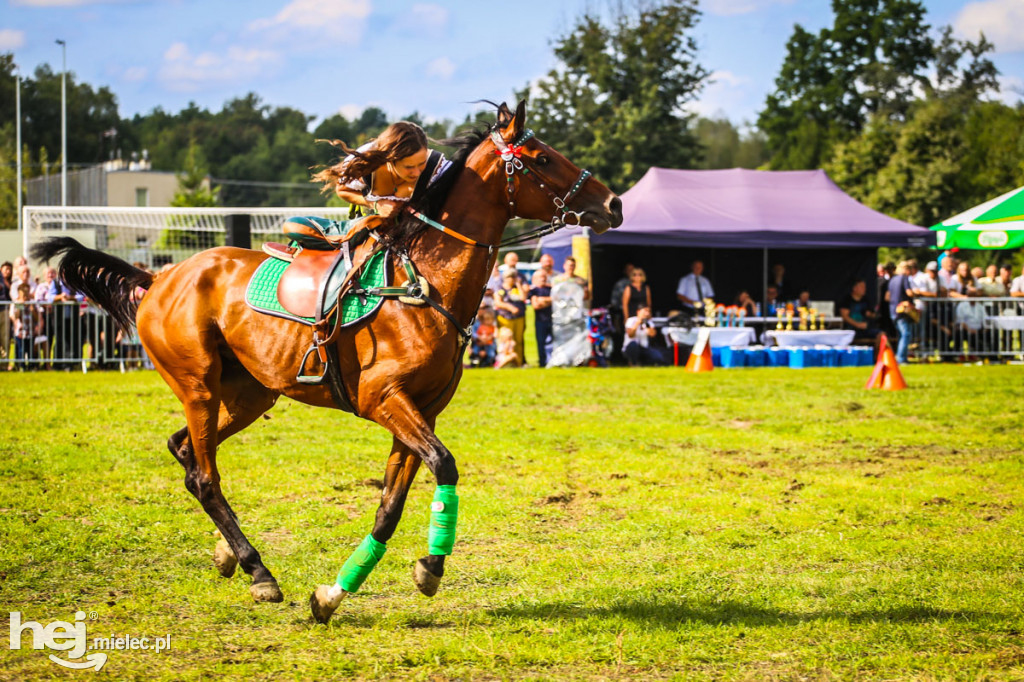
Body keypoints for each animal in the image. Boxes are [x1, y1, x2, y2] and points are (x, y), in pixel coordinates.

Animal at [32, 100, 618, 622]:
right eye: (541, 157)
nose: (612, 204)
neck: (427, 283)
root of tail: (159, 277)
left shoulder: (420, 410)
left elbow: (390, 505)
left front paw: (337, 593)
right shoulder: (384, 399)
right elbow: (443, 465)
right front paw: (429, 567)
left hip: (248, 393)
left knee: (186, 450)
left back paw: (228, 554)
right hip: (198, 385)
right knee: (203, 475)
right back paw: (258, 571)